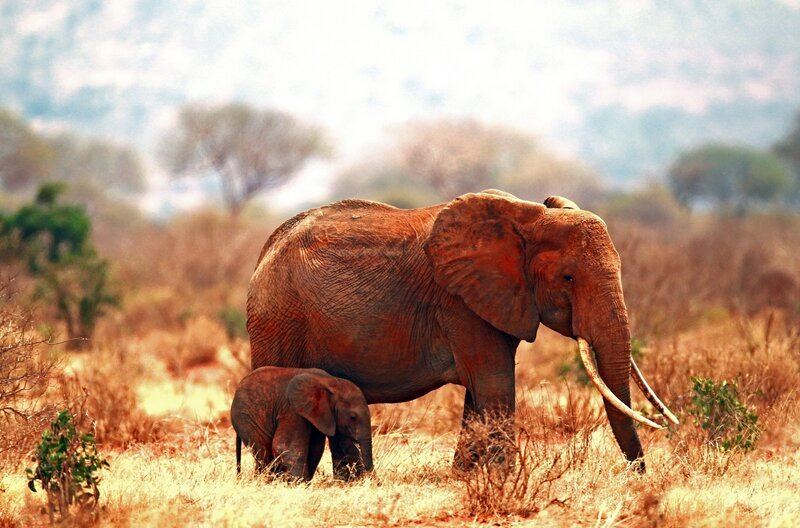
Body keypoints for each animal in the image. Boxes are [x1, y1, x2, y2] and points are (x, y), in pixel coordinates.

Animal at [231, 366, 373, 480]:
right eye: (352, 417)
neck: (330, 382)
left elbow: (316, 449)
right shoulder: (292, 409)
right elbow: (285, 447)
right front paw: (299, 485)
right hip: (245, 418)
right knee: (264, 452)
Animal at [246, 189, 677, 472]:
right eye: (568, 278)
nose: (637, 475)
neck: (527, 217)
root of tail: (265, 250)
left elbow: (480, 389)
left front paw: (466, 476)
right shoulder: (460, 304)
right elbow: (493, 381)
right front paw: (502, 479)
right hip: (278, 318)